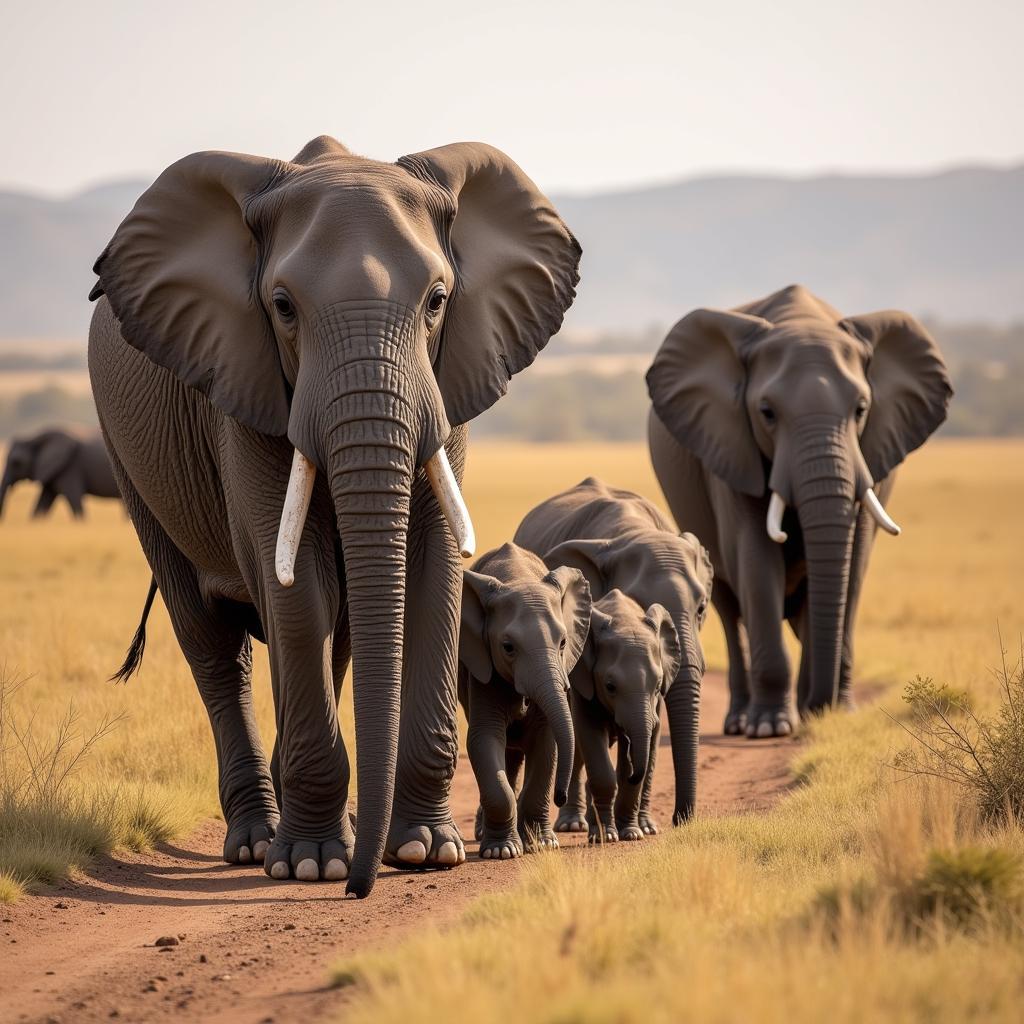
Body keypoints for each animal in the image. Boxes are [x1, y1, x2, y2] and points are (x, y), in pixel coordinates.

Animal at [458, 540, 593, 860]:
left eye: (563, 642)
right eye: (507, 647)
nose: (561, 796)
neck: (518, 578)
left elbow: (546, 745)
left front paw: (541, 845)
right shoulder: (483, 669)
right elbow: (483, 739)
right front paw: (502, 851)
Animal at [569, 589, 679, 843]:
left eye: (658, 685)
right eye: (610, 687)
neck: (624, 619)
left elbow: (647, 743)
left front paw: (631, 834)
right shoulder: (583, 682)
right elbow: (591, 740)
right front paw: (606, 837)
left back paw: (647, 828)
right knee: (576, 751)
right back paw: (575, 825)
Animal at [647, 284, 950, 741]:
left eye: (861, 410)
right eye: (767, 413)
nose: (818, 708)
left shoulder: (873, 455)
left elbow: (854, 563)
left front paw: (837, 715)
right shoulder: (730, 447)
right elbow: (755, 557)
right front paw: (770, 727)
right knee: (729, 608)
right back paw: (741, 721)